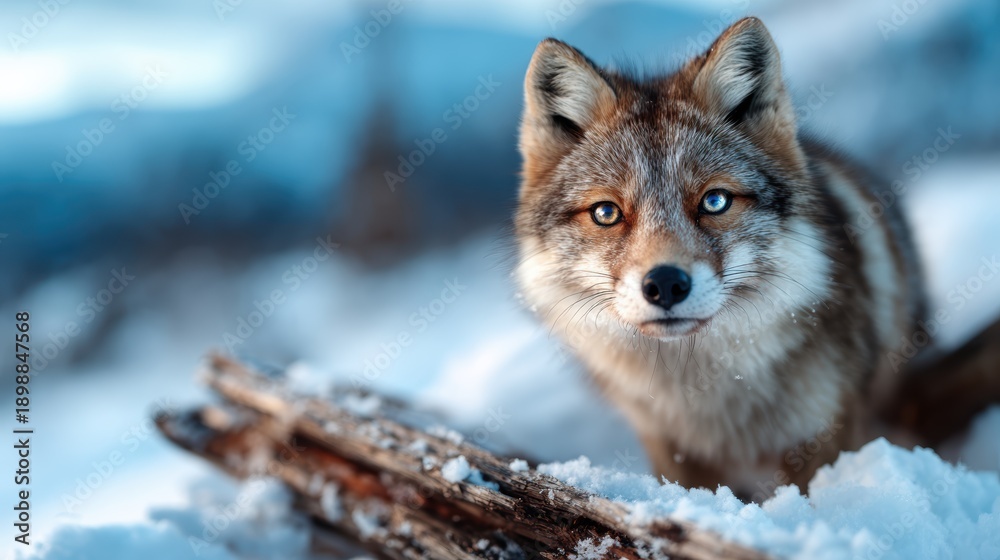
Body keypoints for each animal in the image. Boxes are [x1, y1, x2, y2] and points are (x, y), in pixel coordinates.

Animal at [514, 17, 926, 497]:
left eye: (714, 202)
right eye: (606, 213)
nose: (665, 284)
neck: (706, 402)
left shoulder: (827, 430)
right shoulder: (669, 448)